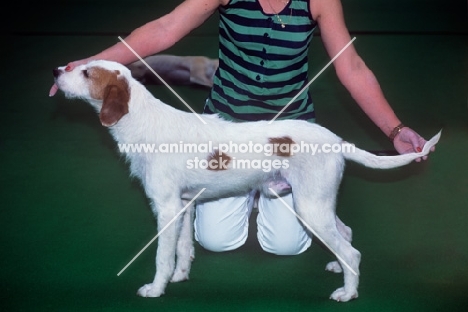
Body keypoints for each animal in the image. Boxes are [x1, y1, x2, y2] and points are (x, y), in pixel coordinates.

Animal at [53, 60, 440, 302]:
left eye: (86, 72)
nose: (57, 70)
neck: (144, 122)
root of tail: (337, 141)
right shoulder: (184, 205)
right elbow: (183, 248)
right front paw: (180, 277)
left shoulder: (165, 208)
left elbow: (163, 255)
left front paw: (156, 288)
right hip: (318, 203)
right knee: (346, 234)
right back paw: (336, 267)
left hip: (310, 207)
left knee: (352, 251)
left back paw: (348, 292)